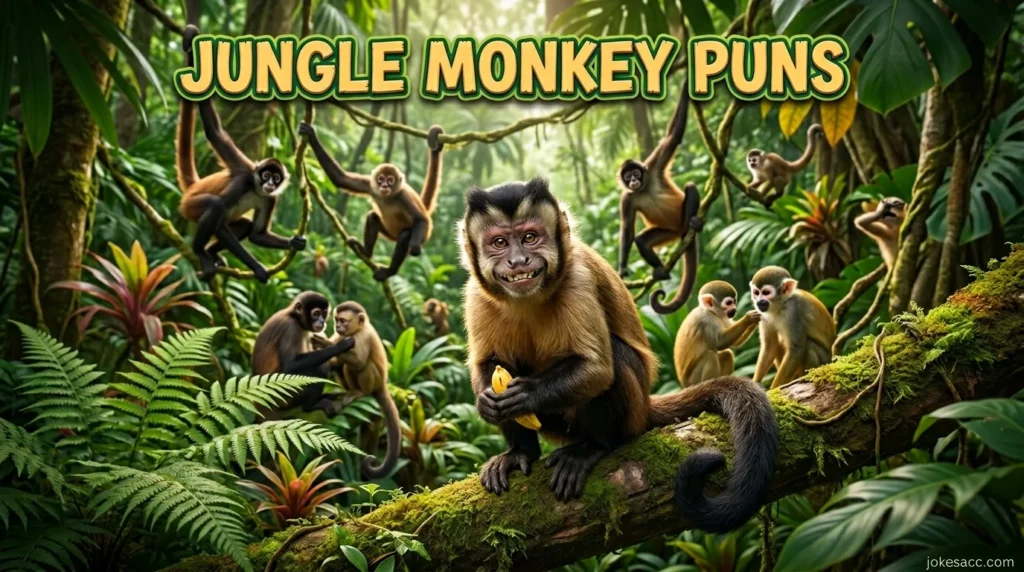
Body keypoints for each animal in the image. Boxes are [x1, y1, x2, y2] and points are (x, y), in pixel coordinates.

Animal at [176, 25, 305, 283]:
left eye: (276, 178)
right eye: (265, 175)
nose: (269, 183)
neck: (255, 188)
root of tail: (194, 187)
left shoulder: (270, 198)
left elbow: (256, 234)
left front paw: (293, 243)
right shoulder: (243, 180)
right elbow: (215, 132)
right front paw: (257, 268)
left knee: (243, 225)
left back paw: (211, 253)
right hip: (190, 206)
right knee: (215, 206)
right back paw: (201, 252)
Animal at [299, 122, 445, 281]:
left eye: (390, 180)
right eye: (381, 179)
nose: (384, 186)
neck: (388, 197)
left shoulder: (404, 195)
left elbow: (421, 219)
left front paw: (415, 247)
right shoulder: (371, 185)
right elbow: (341, 179)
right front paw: (311, 134)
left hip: (424, 234)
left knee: (406, 234)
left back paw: (390, 271)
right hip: (389, 233)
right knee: (372, 217)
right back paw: (366, 253)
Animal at [322, 302, 400, 479]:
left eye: (343, 321)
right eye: (336, 319)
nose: (338, 326)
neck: (358, 329)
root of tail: (382, 384)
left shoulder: (363, 335)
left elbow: (359, 362)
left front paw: (326, 344)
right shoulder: (342, 335)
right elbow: (335, 361)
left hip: (375, 381)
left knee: (361, 365)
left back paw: (359, 392)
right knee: (341, 365)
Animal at [460, 178, 778, 533]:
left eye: (530, 237)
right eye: (499, 242)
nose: (518, 261)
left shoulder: (579, 278)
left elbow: (598, 370)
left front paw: (526, 393)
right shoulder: (476, 294)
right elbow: (487, 364)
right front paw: (487, 403)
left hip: (630, 413)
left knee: (617, 359)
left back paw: (592, 447)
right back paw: (520, 453)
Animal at [617, 80, 703, 314]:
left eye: (636, 173)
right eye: (627, 177)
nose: (633, 180)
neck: (642, 189)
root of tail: (680, 231)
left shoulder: (652, 165)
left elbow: (673, 136)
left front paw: (686, 84)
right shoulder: (627, 197)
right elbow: (628, 229)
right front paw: (622, 268)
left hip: (679, 220)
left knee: (690, 186)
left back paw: (692, 222)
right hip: (668, 232)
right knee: (642, 240)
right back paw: (661, 271)